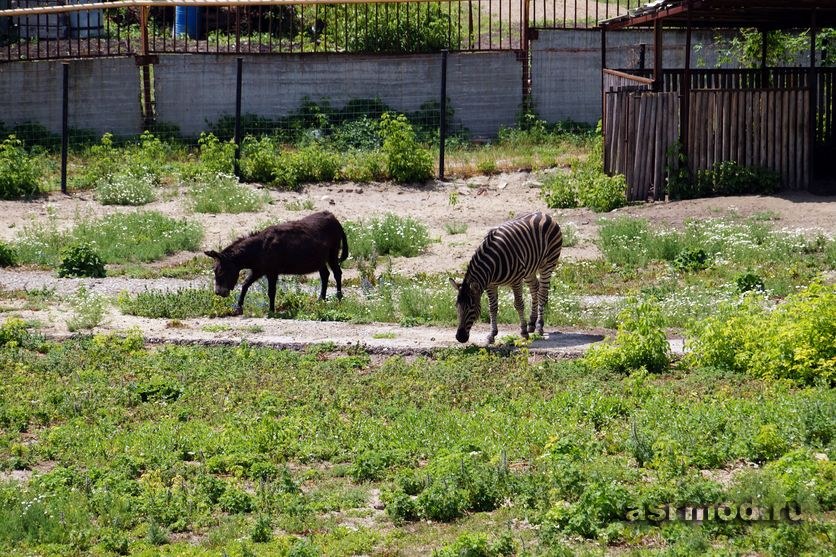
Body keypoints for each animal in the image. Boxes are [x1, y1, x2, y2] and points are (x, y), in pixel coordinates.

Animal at [450, 212, 560, 344]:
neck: (492, 264)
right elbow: (492, 308)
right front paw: (492, 334)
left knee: (542, 293)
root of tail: (543, 213)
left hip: (548, 264)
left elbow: (519, 304)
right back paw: (532, 323)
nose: (460, 337)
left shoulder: (516, 281)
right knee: (535, 288)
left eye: (471, 307)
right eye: (456, 306)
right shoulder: (491, 285)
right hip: (530, 269)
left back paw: (539, 326)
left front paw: (523, 332)